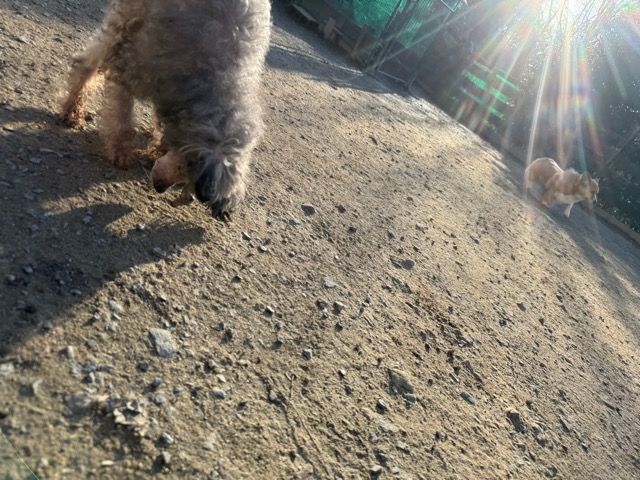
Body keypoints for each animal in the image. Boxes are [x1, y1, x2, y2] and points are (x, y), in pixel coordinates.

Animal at [60, 0, 272, 220]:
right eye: (188, 163)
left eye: (188, 182)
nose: (159, 187)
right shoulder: (130, 66)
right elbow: (123, 117)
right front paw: (120, 149)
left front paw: (156, 146)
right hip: (128, 21)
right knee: (86, 63)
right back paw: (71, 109)